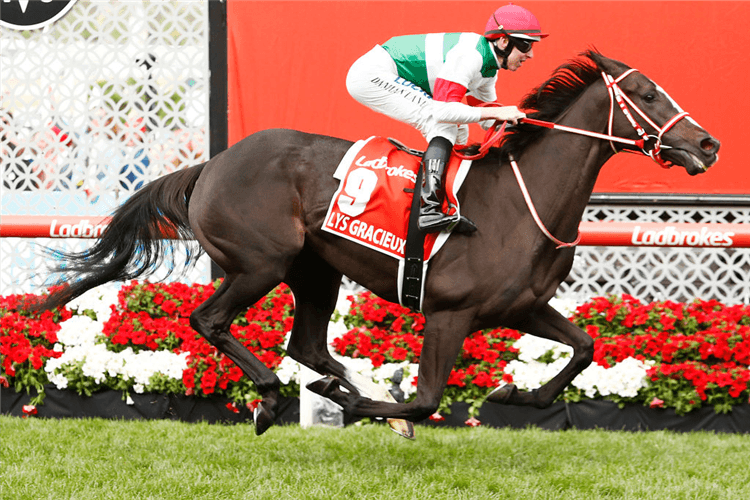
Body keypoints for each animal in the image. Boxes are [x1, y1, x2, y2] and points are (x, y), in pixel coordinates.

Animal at [38, 48, 720, 436]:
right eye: (649, 94)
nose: (709, 143)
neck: (519, 204)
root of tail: (212, 163)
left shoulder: (522, 306)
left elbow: (584, 348)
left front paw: (516, 392)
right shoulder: (449, 314)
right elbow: (423, 401)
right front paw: (373, 410)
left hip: (316, 271)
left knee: (309, 347)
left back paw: (336, 385)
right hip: (262, 263)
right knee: (211, 320)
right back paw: (273, 397)